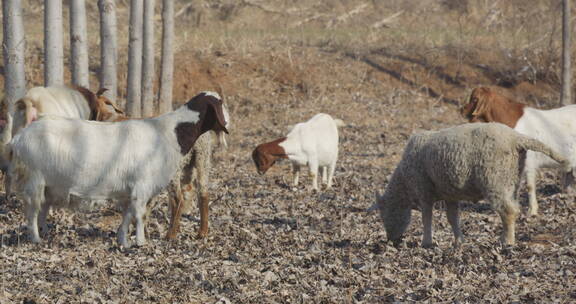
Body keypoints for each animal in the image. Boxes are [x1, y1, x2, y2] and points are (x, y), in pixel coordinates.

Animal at [372, 121, 568, 247]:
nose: (391, 240)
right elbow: (452, 218)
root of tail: (516, 137)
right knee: (515, 207)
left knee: (508, 211)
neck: (404, 183)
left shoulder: (424, 191)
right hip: (512, 179)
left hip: (495, 180)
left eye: (386, 212)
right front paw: (459, 241)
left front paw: (426, 243)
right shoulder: (449, 194)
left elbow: (427, 217)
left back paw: (507, 242)